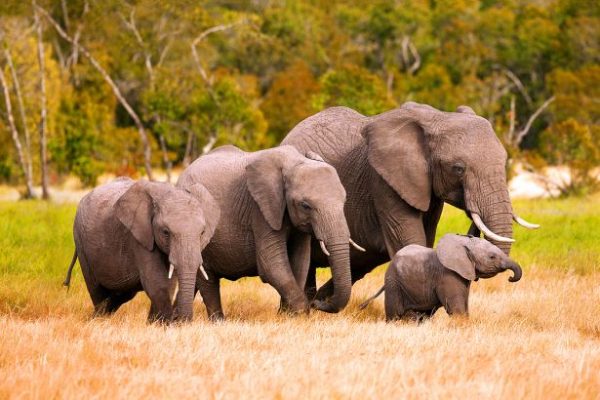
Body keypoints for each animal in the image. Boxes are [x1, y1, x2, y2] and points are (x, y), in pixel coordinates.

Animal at [64, 178, 219, 322]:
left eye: (202, 232)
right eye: (166, 232)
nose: (181, 320)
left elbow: (169, 283)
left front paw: (155, 323)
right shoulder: (139, 237)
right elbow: (156, 283)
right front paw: (165, 324)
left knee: (119, 295)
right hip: (80, 241)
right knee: (97, 291)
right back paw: (98, 320)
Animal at [177, 144, 360, 318]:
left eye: (344, 200)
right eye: (305, 206)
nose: (317, 303)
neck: (293, 161)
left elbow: (300, 261)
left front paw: (287, 316)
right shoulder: (260, 208)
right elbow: (272, 264)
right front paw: (299, 315)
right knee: (208, 281)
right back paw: (215, 321)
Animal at [358, 234, 524, 322]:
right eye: (492, 257)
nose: (510, 278)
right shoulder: (448, 274)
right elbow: (456, 309)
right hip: (393, 282)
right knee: (395, 314)